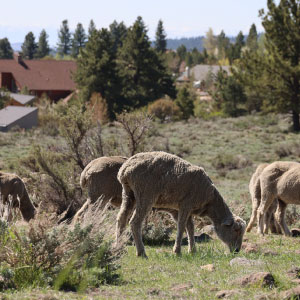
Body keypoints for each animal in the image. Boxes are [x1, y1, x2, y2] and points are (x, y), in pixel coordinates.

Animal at [116, 152, 245, 258]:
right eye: (236, 230)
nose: (237, 251)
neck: (210, 201)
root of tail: (125, 169)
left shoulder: (181, 209)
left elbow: (190, 227)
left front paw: (192, 250)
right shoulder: (186, 204)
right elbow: (181, 226)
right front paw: (177, 251)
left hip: (128, 193)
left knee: (121, 218)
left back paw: (119, 248)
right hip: (145, 195)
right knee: (134, 222)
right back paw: (141, 252)